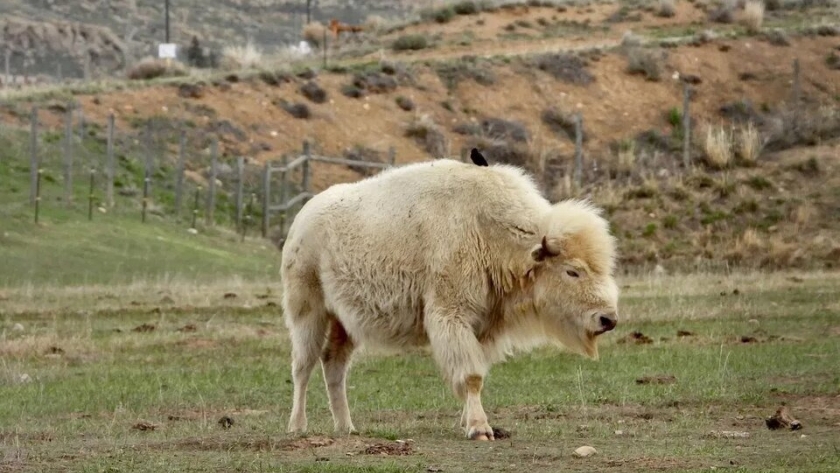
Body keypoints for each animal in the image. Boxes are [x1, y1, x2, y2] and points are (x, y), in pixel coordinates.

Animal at [280, 151, 616, 438]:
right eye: (572, 271)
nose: (608, 319)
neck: (487, 228)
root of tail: (302, 219)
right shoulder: (451, 315)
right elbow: (471, 375)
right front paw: (479, 429)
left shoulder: (483, 328)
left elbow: (476, 373)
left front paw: (468, 422)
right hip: (308, 310)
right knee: (303, 364)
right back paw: (297, 426)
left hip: (345, 322)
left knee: (333, 363)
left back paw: (346, 427)